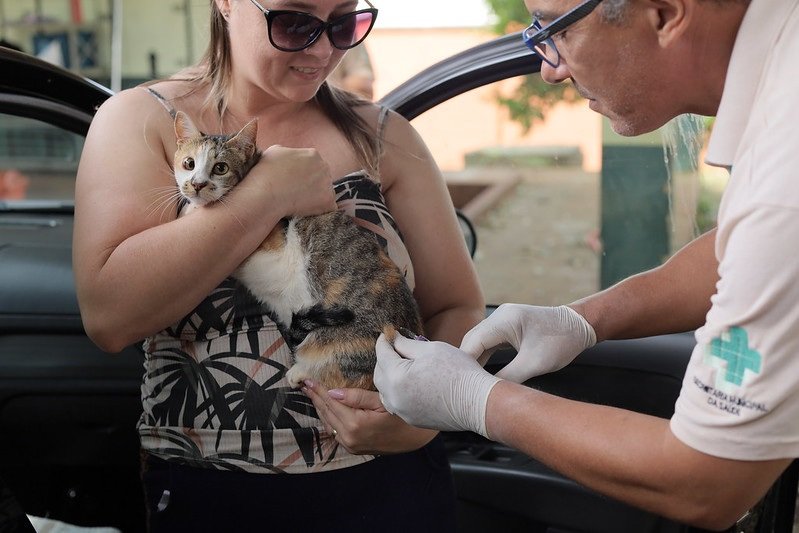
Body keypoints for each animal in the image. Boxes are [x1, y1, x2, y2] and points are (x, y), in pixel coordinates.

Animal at [173, 110, 424, 388]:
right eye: (189, 163)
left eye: (220, 168)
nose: (197, 184)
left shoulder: (267, 238)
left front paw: (190, 208)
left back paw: (300, 372)